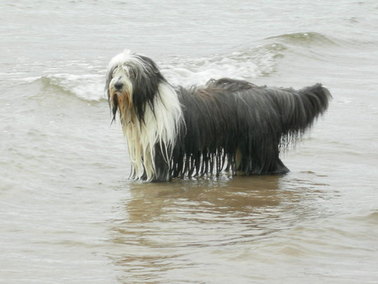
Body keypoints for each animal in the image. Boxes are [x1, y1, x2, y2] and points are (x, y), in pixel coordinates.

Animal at [106, 49, 330, 182]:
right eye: (115, 71)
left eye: (132, 72)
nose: (118, 85)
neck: (147, 103)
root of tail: (267, 94)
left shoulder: (161, 148)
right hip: (244, 146)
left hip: (260, 145)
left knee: (276, 166)